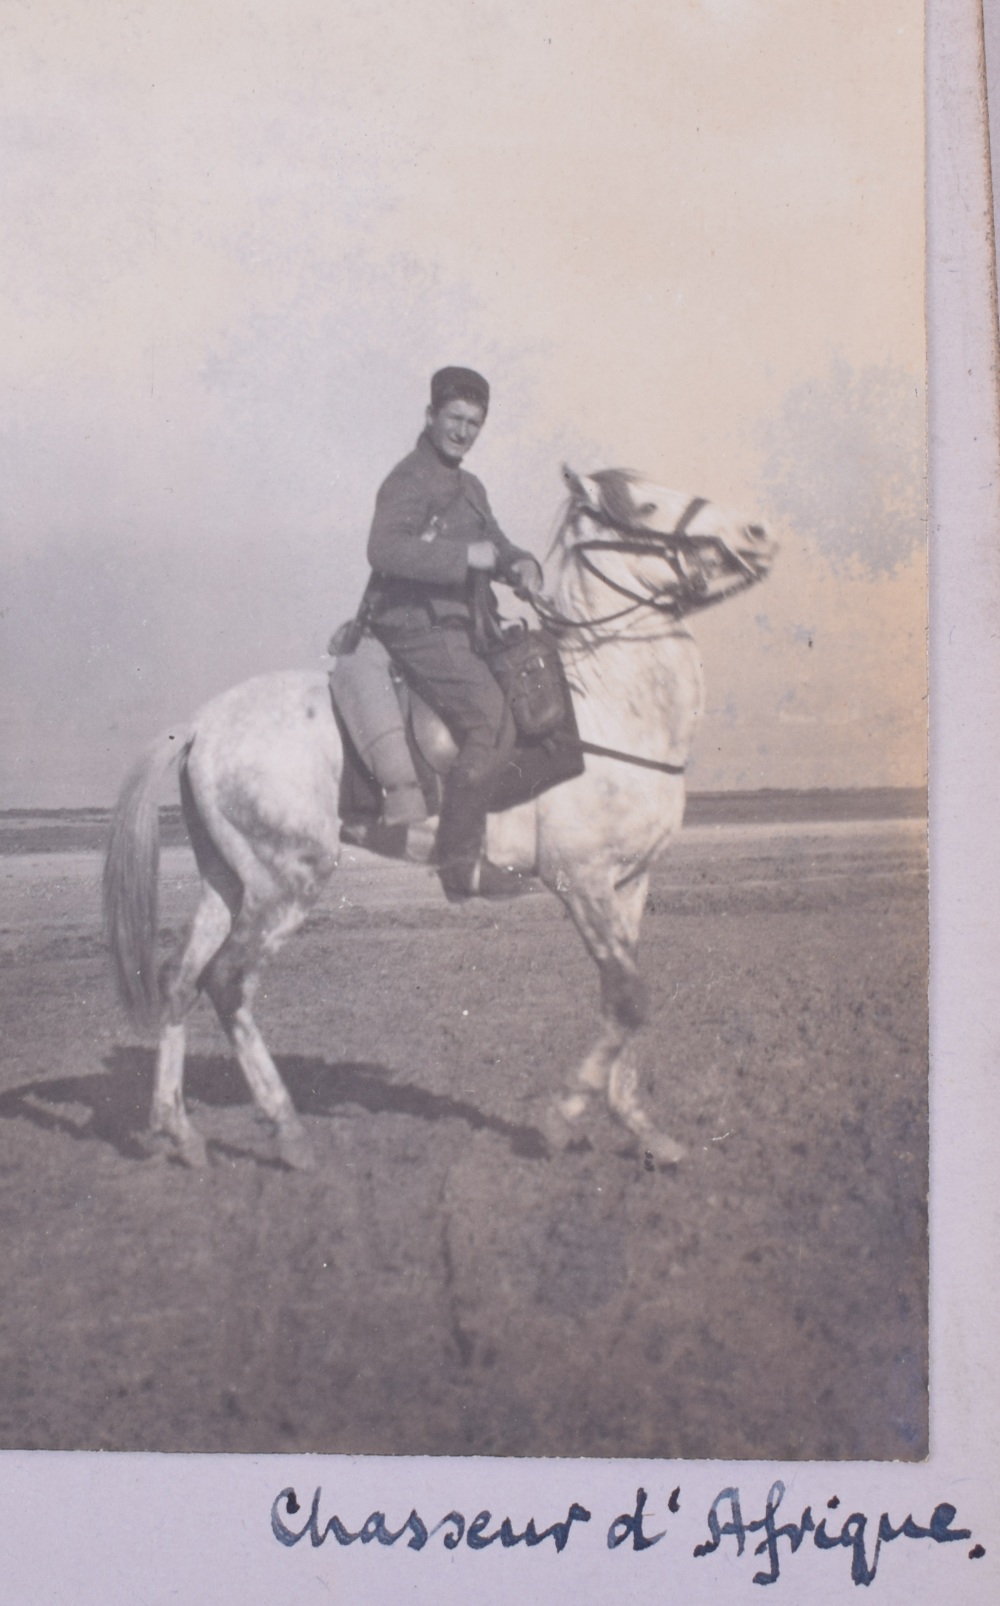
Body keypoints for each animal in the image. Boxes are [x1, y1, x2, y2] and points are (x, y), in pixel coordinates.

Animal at [103, 465, 773, 1169]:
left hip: (227, 880)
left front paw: (643, 1127)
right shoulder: (580, 881)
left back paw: (178, 1131)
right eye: (643, 505)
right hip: (286, 883)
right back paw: (288, 1131)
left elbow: (625, 1000)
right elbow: (629, 999)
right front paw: (561, 1121)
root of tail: (199, 727)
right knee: (229, 983)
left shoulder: (630, 883)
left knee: (180, 980)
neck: (610, 710)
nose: (758, 533)